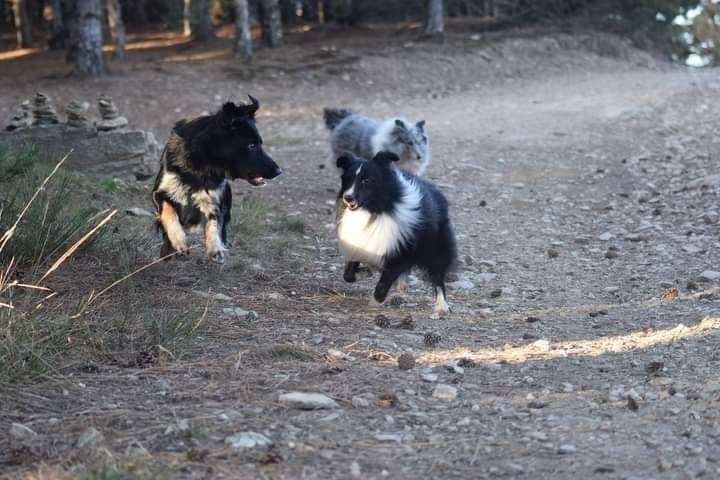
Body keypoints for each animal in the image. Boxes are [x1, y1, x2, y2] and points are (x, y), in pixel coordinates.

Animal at [152, 96, 282, 262]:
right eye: (252, 145)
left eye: (259, 143)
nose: (279, 171)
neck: (198, 166)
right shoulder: (159, 192)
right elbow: (169, 212)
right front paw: (179, 241)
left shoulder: (214, 198)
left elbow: (213, 223)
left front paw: (215, 247)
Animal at [336, 152, 456, 314]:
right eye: (348, 178)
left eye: (367, 180)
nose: (348, 198)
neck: (377, 209)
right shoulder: (358, 242)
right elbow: (348, 273)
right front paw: (365, 272)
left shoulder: (401, 251)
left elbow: (383, 283)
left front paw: (375, 302)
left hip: (436, 246)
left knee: (438, 275)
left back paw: (442, 305)